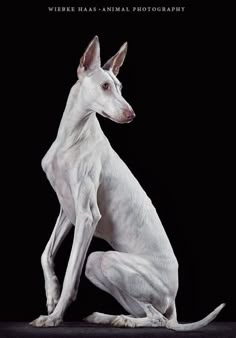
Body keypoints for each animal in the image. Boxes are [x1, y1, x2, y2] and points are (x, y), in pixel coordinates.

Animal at [30, 35, 224, 328]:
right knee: (149, 312)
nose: (131, 114)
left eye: (120, 87)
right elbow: (46, 253)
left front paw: (54, 316)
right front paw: (51, 293)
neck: (72, 137)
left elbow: (71, 275)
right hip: (100, 266)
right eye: (105, 86)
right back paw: (108, 317)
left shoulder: (87, 216)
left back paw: (127, 321)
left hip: (105, 260)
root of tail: (174, 298)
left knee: (157, 318)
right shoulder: (68, 210)